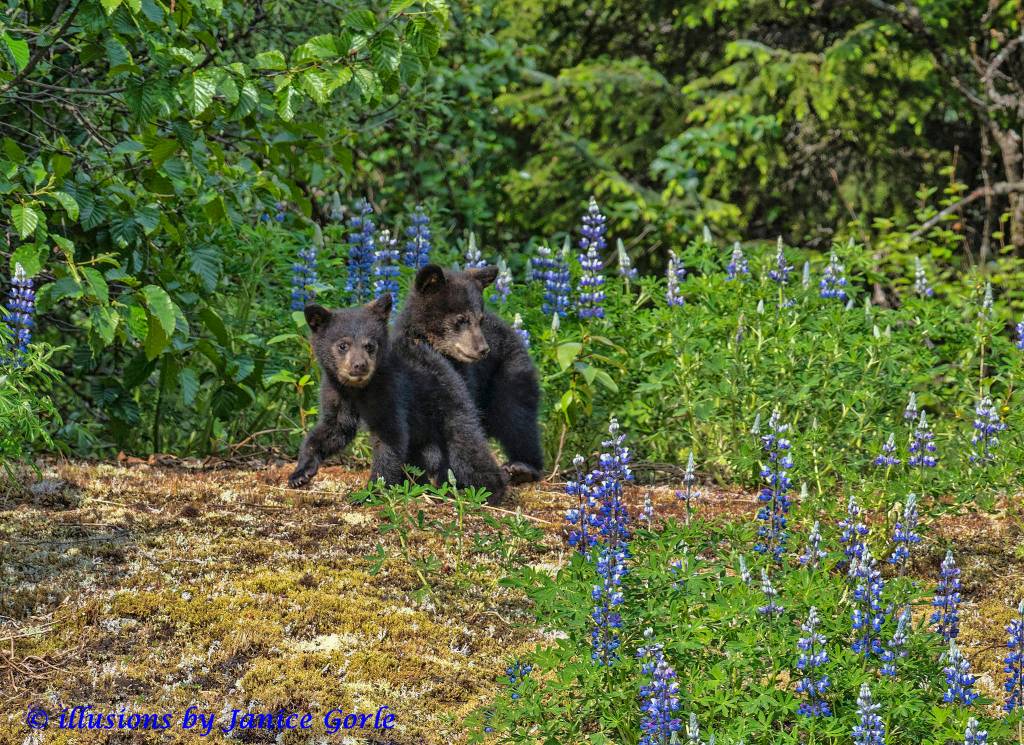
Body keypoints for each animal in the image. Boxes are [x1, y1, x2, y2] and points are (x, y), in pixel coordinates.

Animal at [287, 294, 508, 503]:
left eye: (370, 346)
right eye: (343, 345)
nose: (359, 365)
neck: (359, 389)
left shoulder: (390, 391)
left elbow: (390, 438)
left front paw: (371, 492)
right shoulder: (337, 392)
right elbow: (334, 429)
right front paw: (300, 473)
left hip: (449, 404)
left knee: (466, 447)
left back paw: (490, 491)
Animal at [394, 264, 544, 484]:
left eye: (479, 320)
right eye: (461, 319)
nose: (483, 349)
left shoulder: (465, 378)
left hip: (509, 369)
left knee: (517, 416)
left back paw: (523, 467)